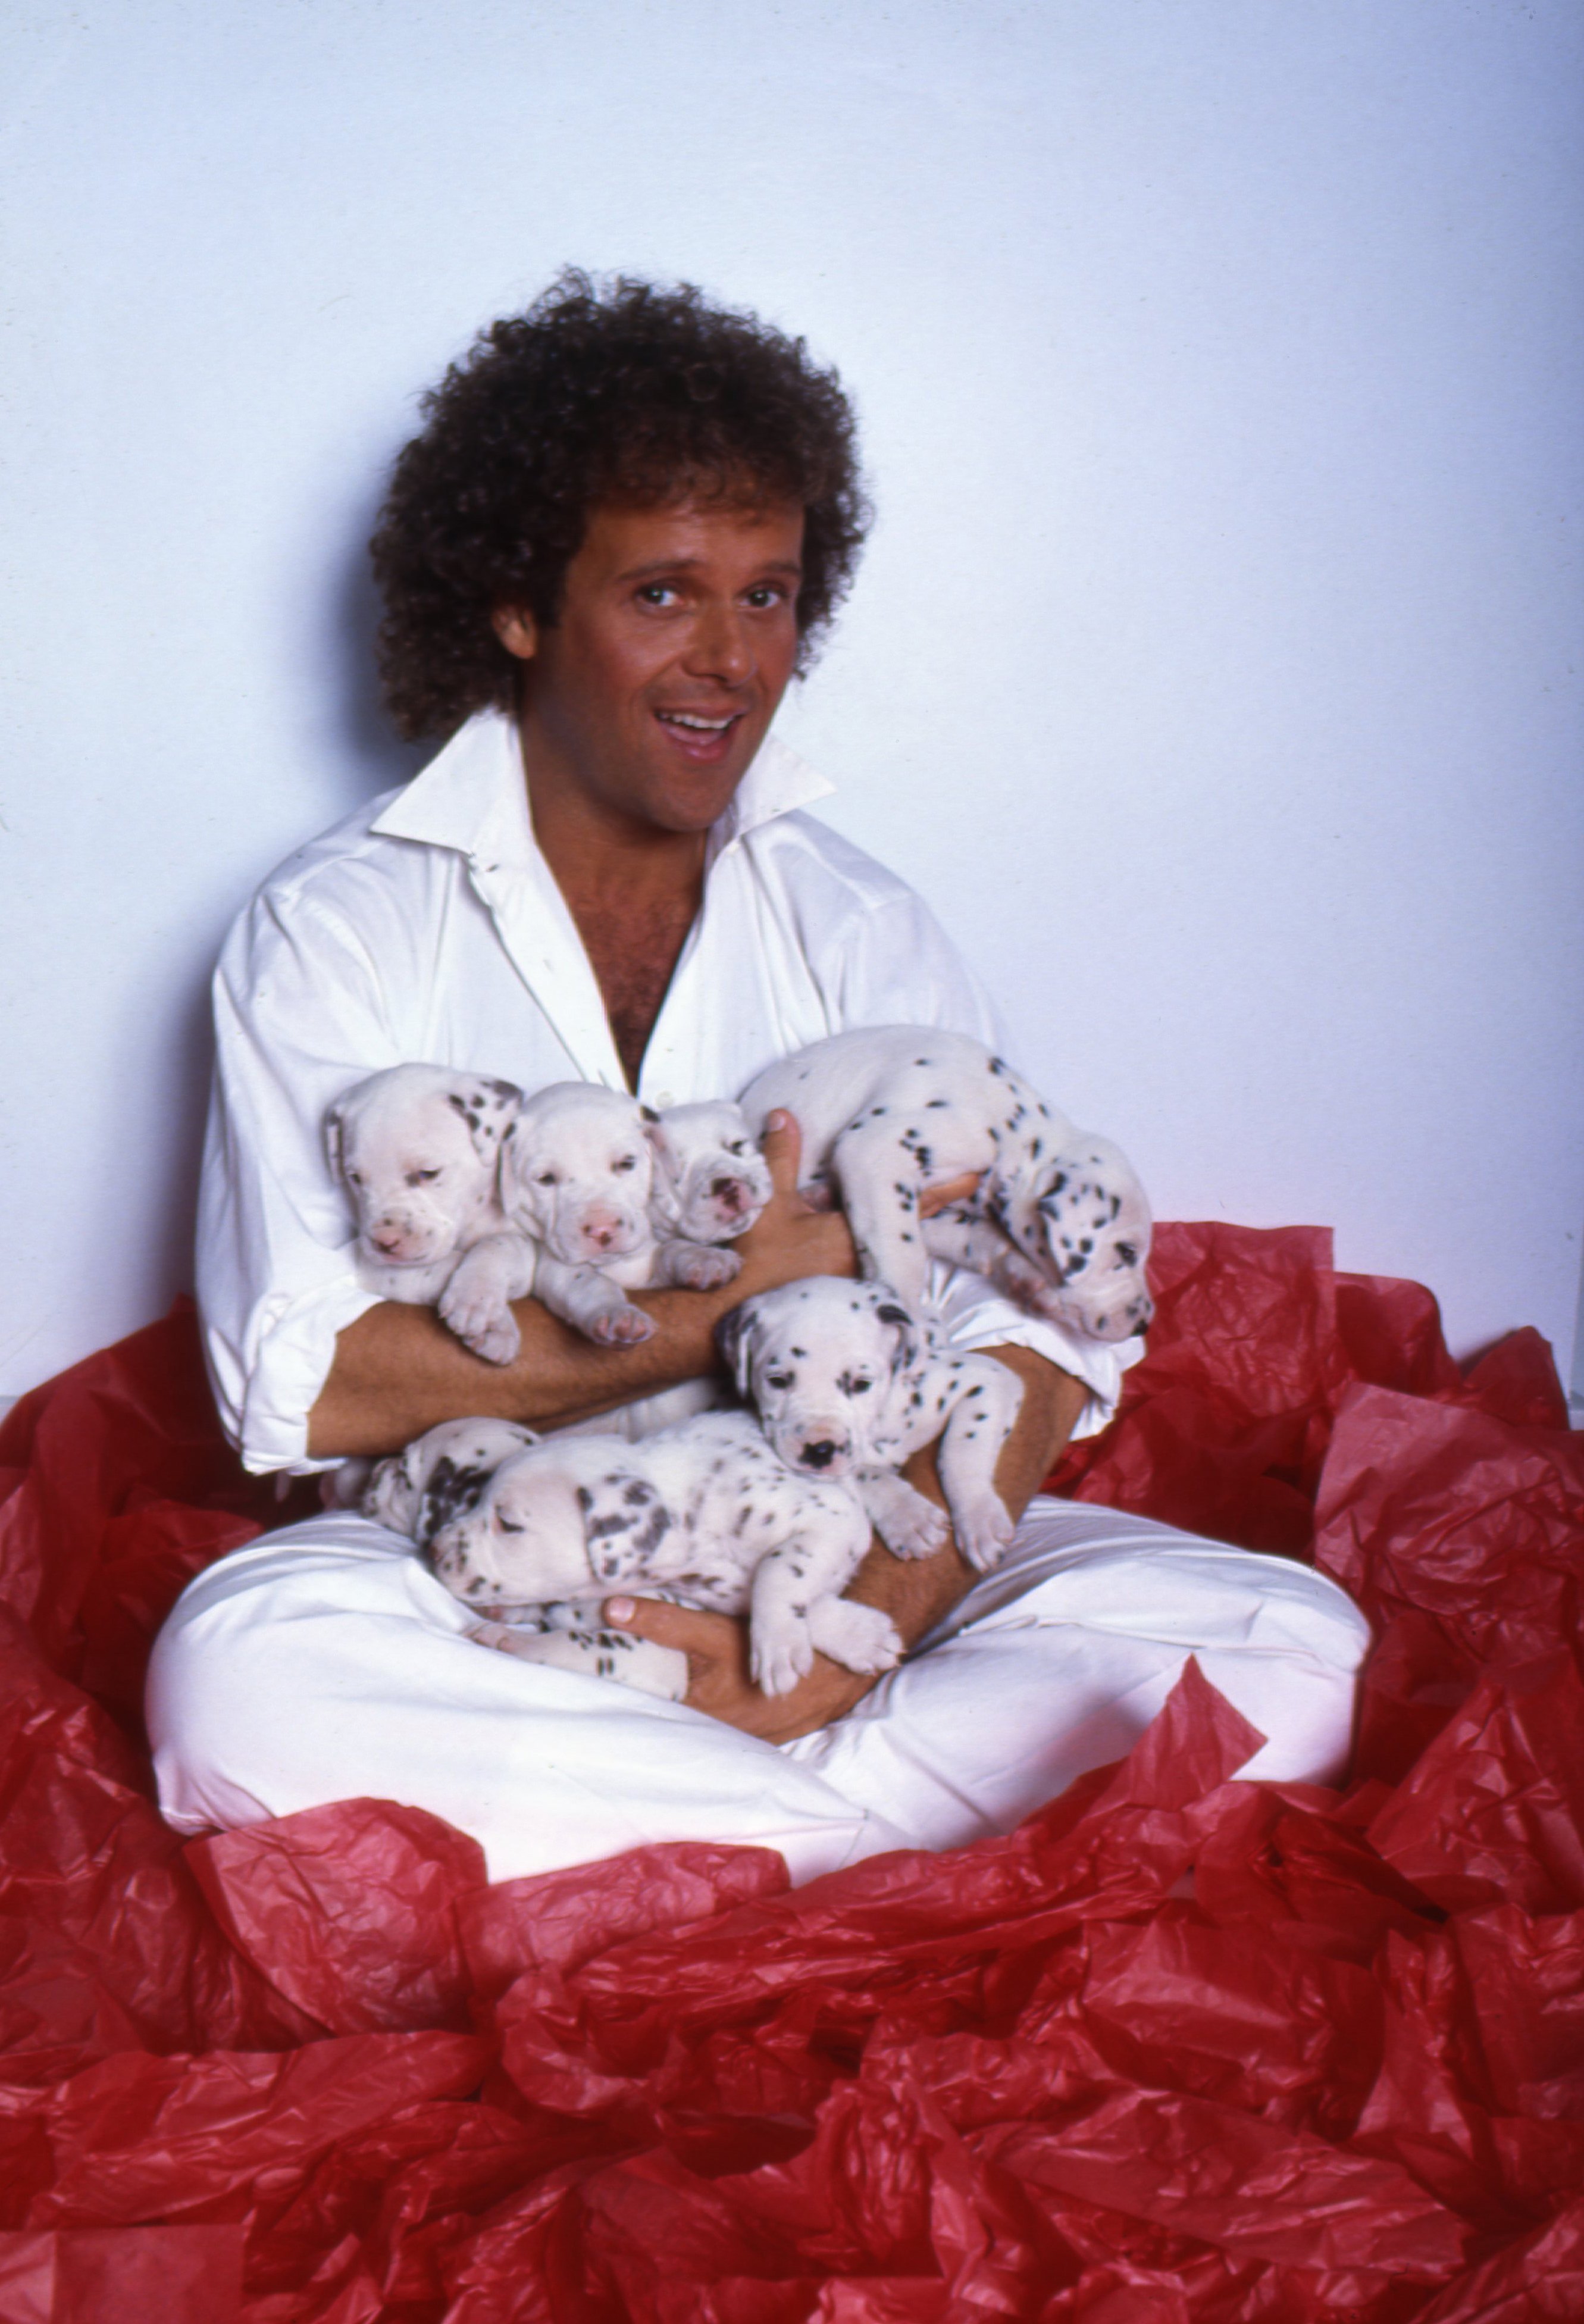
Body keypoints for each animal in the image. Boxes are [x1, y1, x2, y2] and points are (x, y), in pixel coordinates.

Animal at [325, 1064, 536, 1366]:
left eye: (428, 1173)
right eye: (355, 1178)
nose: (385, 1243)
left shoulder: (520, 1237)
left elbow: (503, 1244)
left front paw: (478, 1296)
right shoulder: (374, 1267)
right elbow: (445, 1263)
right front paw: (494, 1320)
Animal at [499, 1083, 757, 1347]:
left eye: (626, 1163)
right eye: (546, 1179)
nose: (602, 1229)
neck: (617, 1264)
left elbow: (671, 1250)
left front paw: (704, 1259)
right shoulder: (556, 1269)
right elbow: (588, 1283)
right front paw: (616, 1313)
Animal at [715, 1283, 1022, 1571]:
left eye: (861, 1383)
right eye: (777, 1381)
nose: (820, 1450)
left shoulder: (987, 1378)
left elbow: (963, 1453)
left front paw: (981, 1519)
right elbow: (867, 1473)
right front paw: (908, 1516)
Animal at [734, 1031, 1152, 1347]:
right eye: (1127, 1252)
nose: (1144, 1325)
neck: (1011, 1125)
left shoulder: (942, 1209)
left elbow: (976, 1238)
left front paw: (1029, 1280)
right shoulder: (876, 1150)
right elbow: (904, 1253)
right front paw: (911, 1321)